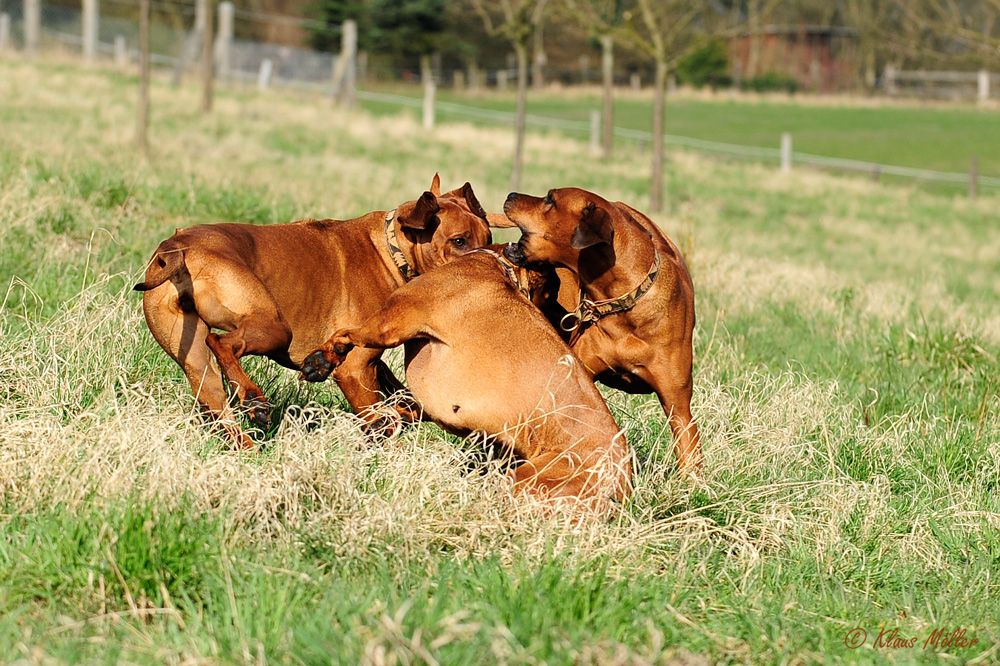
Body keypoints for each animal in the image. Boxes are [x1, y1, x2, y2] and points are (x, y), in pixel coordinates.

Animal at [133, 175, 492, 446]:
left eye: (488, 237)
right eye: (459, 241)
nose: (493, 264)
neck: (391, 251)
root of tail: (177, 246)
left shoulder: (371, 365)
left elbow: (410, 404)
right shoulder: (354, 370)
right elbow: (383, 415)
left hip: (198, 365)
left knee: (219, 405)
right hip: (273, 326)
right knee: (222, 343)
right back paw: (253, 398)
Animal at [300, 246, 636, 510]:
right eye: (551, 292)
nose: (568, 324)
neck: (497, 267)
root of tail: (622, 484)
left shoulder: (390, 324)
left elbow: (347, 333)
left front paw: (322, 359)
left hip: (526, 480)